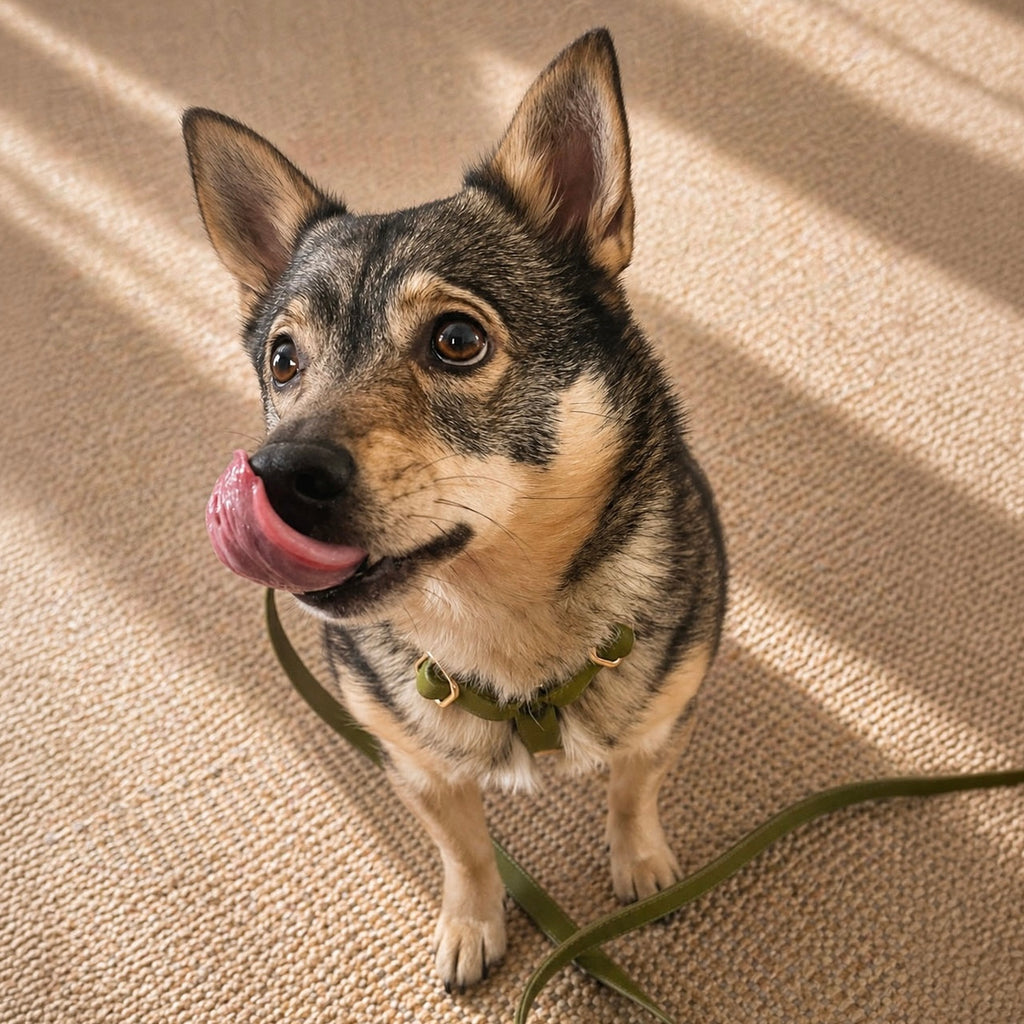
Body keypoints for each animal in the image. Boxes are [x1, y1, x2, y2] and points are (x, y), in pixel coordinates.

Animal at [185, 28, 726, 992]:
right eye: (283, 359)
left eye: (458, 339)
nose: (276, 473)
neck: (498, 626)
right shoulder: (415, 766)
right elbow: (468, 852)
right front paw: (474, 924)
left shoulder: (665, 713)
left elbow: (633, 790)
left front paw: (641, 865)